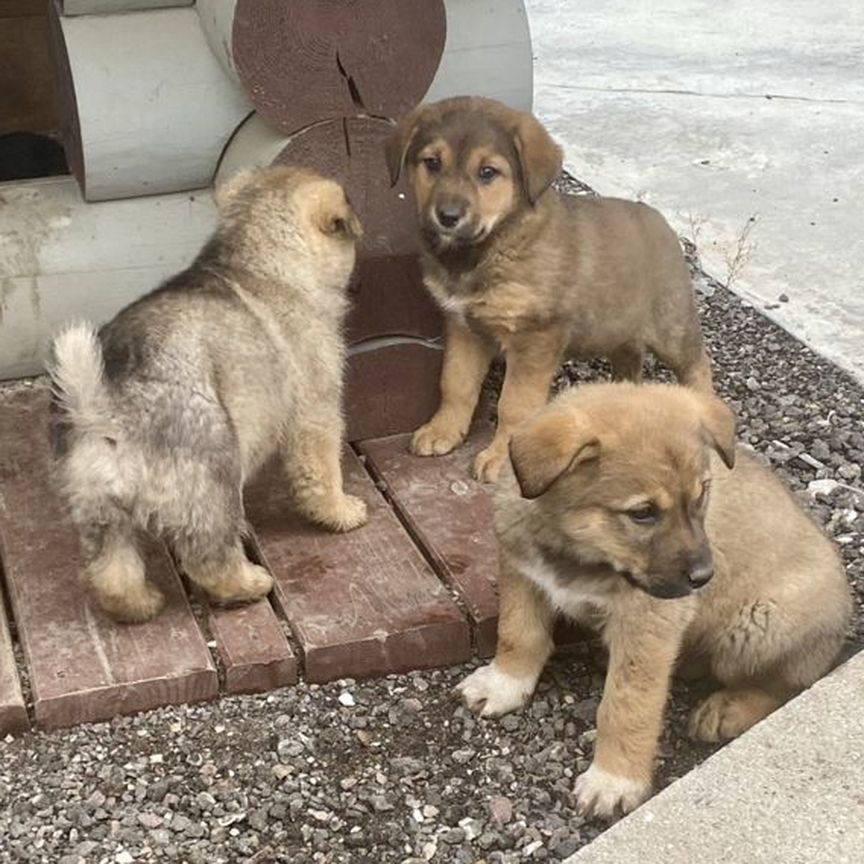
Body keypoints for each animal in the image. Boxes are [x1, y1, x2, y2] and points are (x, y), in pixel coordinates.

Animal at [388, 99, 712, 486]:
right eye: (432, 163)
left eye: (487, 172)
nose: (447, 216)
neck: (490, 248)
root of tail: (663, 222)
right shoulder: (463, 328)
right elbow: (455, 383)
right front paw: (443, 431)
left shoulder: (535, 337)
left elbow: (515, 405)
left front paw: (501, 458)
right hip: (617, 329)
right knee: (629, 365)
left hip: (672, 328)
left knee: (699, 368)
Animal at [460, 384, 852, 816]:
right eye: (643, 513)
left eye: (702, 495)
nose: (704, 578)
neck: (580, 552)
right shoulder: (522, 572)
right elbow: (518, 635)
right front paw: (503, 683)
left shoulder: (648, 621)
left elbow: (627, 704)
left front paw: (614, 779)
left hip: (757, 628)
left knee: (789, 682)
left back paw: (727, 710)